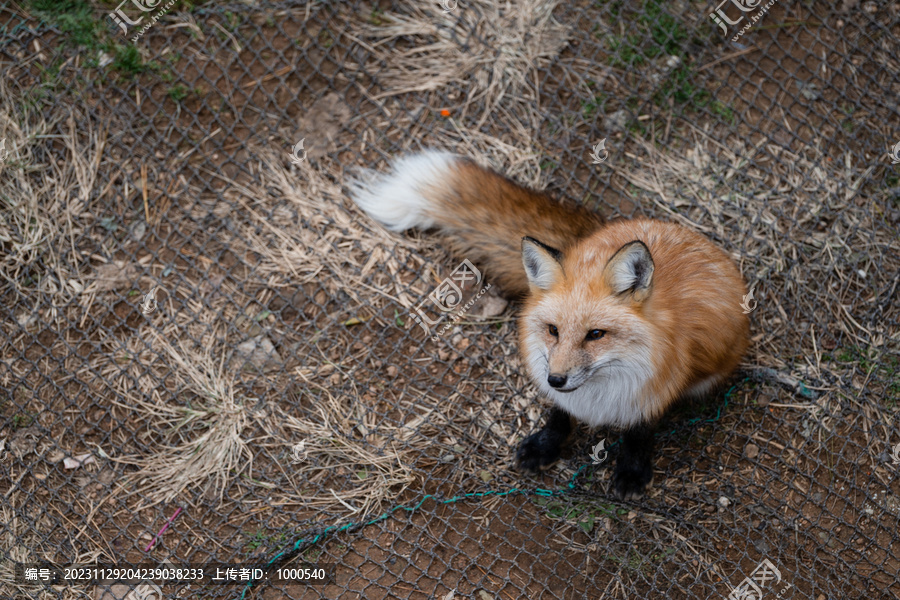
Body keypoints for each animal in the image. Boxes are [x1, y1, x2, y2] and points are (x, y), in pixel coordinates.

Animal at [348, 152, 748, 500]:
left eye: (596, 335)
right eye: (553, 330)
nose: (556, 379)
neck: (601, 393)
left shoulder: (654, 392)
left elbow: (638, 434)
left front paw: (632, 472)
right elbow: (559, 415)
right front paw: (545, 447)